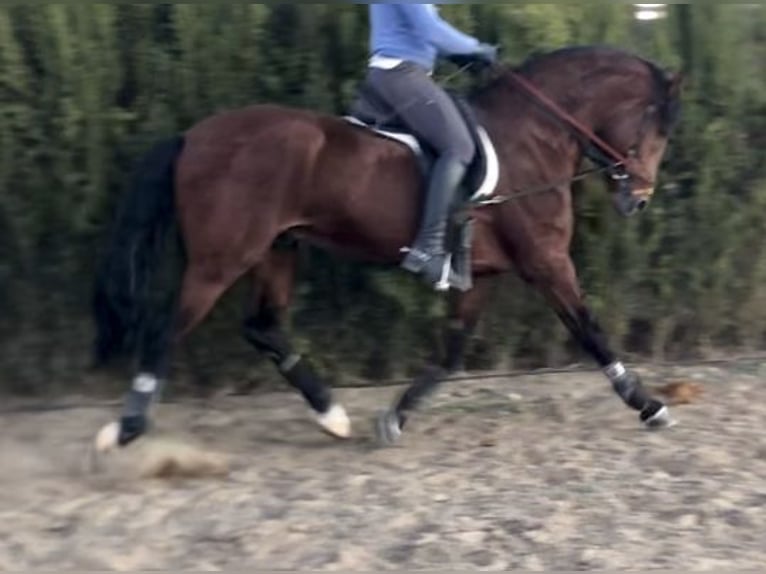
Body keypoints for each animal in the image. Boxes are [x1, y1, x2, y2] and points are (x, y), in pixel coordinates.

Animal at [91, 46, 684, 454]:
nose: (639, 199)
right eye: (657, 127)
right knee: (163, 329)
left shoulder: (484, 276)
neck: (534, 137)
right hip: (221, 260)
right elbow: (590, 330)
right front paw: (649, 405)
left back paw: (331, 415)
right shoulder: (546, 262)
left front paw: (395, 418)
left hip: (278, 249)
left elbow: (450, 353)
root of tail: (192, 136)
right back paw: (126, 429)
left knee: (262, 327)